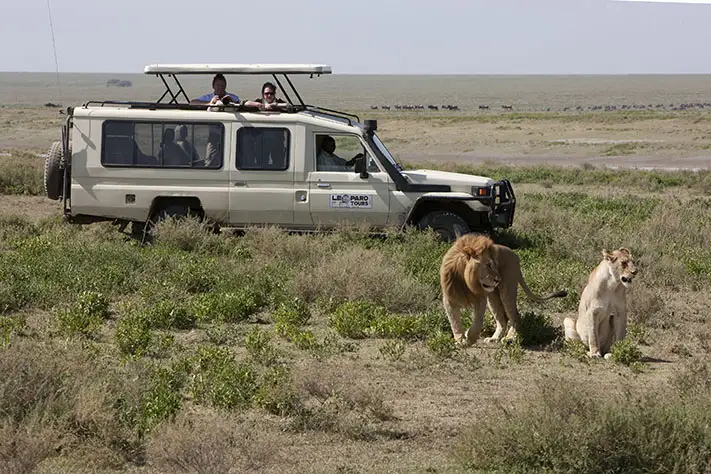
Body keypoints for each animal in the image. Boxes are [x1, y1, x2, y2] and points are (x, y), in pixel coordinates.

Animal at [440, 233, 568, 346]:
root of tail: (515, 255)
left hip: (507, 291)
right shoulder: (449, 299)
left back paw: (509, 338)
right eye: (488, 265)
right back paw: (494, 338)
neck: (465, 281)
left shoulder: (480, 299)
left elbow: (477, 323)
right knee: (502, 319)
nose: (498, 279)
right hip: (493, 296)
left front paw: (470, 337)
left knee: (515, 316)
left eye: (494, 264)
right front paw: (460, 339)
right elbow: (454, 322)